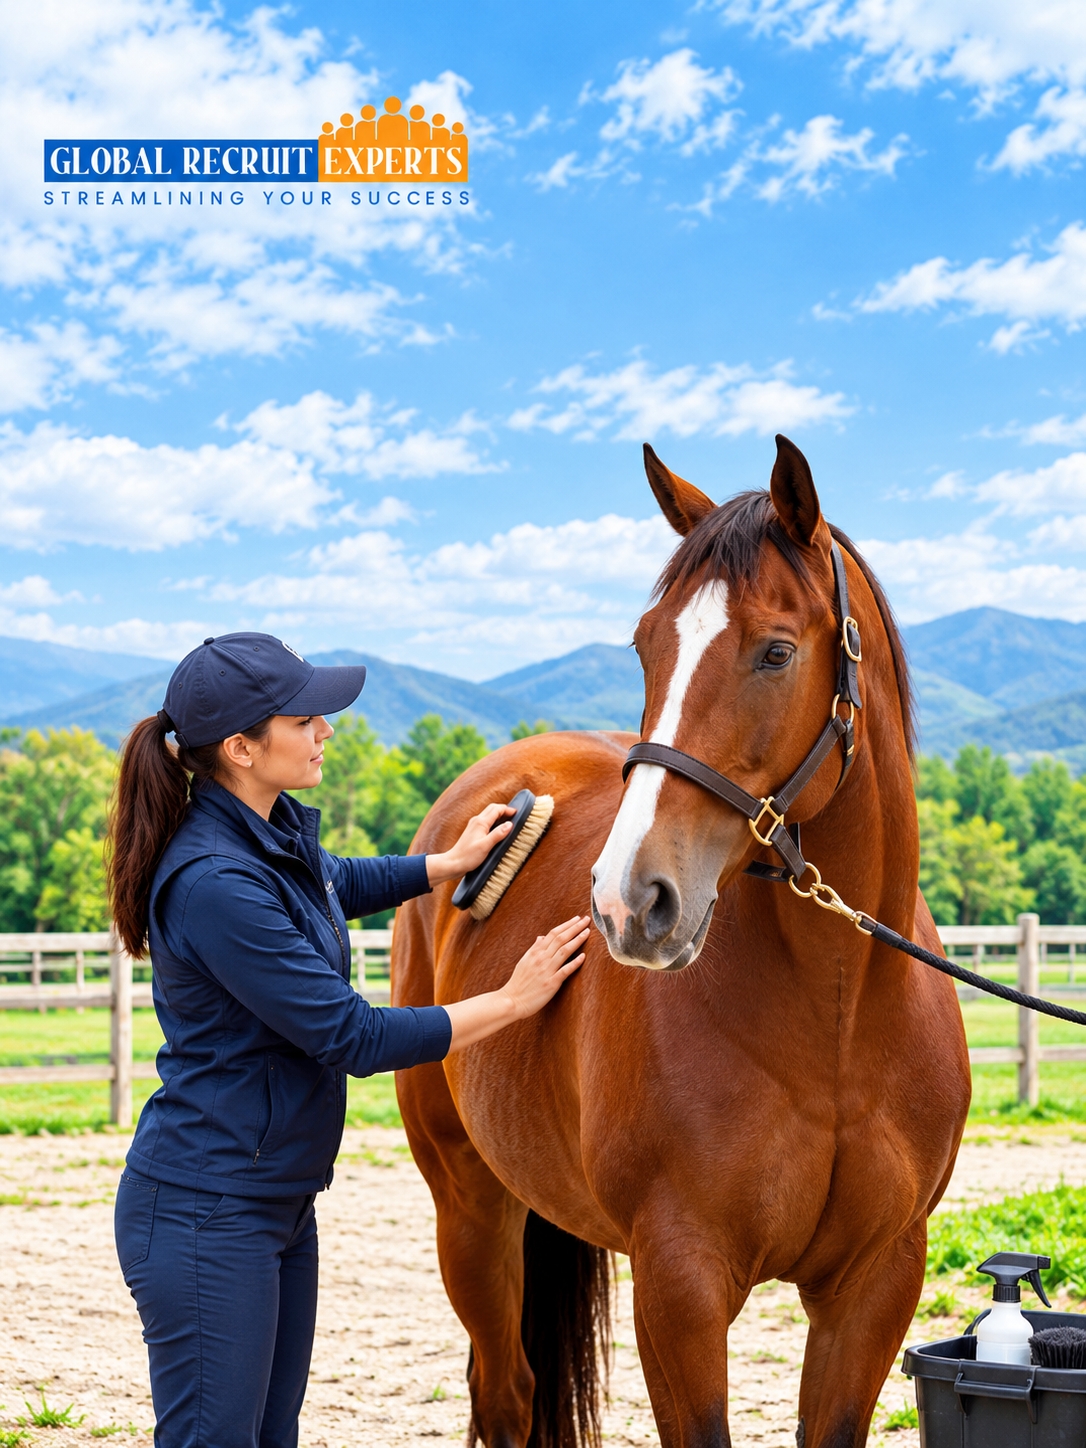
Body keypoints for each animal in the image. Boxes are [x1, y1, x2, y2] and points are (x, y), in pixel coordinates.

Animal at [392, 435, 971, 1448]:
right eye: (645, 645)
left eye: (777, 651)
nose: (630, 901)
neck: (838, 1016)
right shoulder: (681, 1285)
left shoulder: (876, 1283)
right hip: (469, 1204)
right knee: (506, 1395)